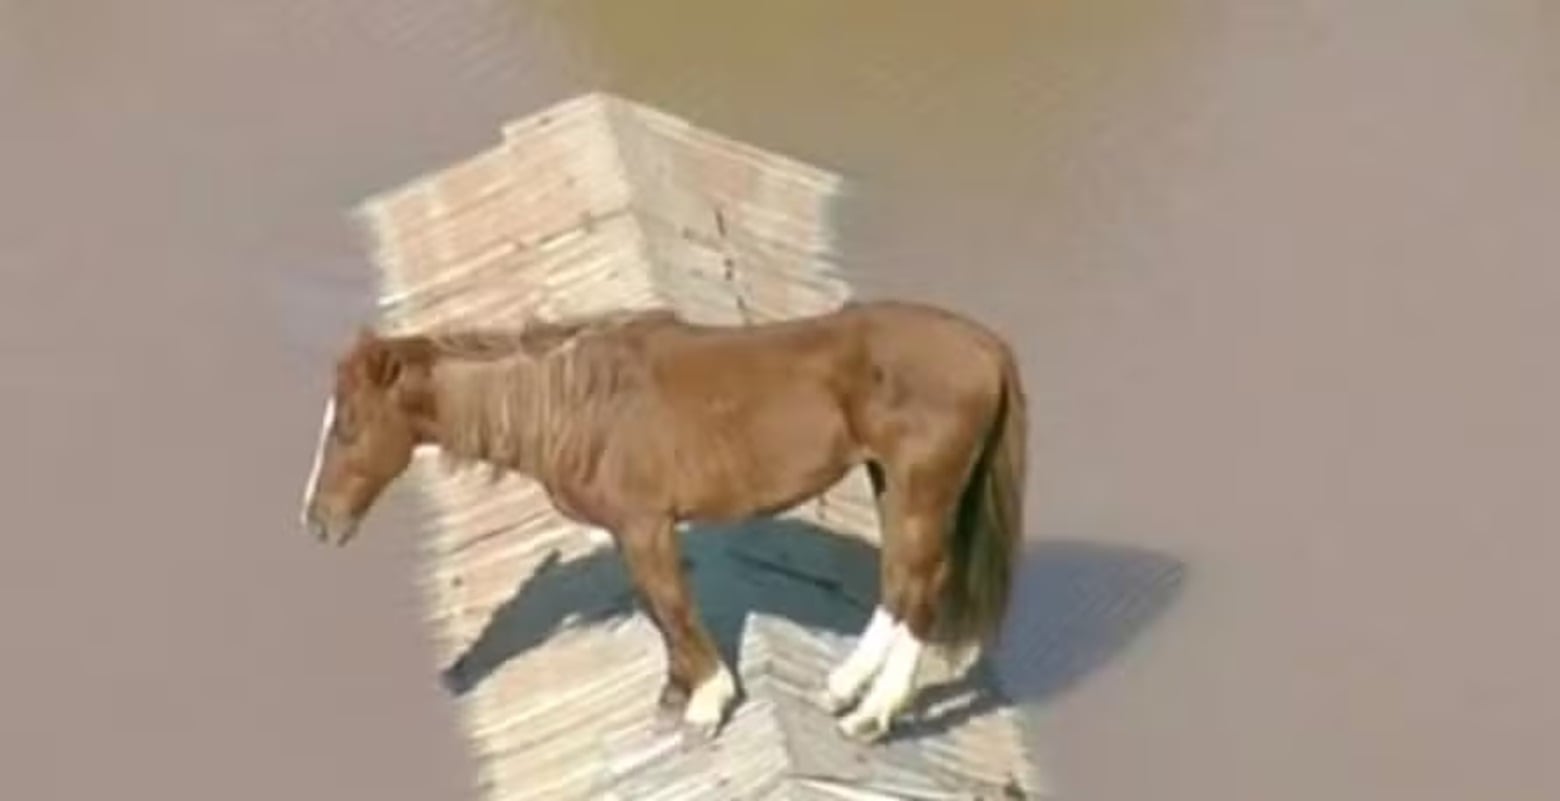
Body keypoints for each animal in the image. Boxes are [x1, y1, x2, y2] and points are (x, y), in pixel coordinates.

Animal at [297, 299, 1029, 743]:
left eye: (350, 425)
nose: (317, 521)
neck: (577, 405)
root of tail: (985, 344)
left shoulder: (643, 525)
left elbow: (671, 604)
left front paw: (707, 701)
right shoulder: (637, 532)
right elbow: (657, 609)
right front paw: (677, 694)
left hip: (921, 485)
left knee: (921, 586)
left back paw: (872, 714)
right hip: (890, 482)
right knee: (901, 580)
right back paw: (845, 687)